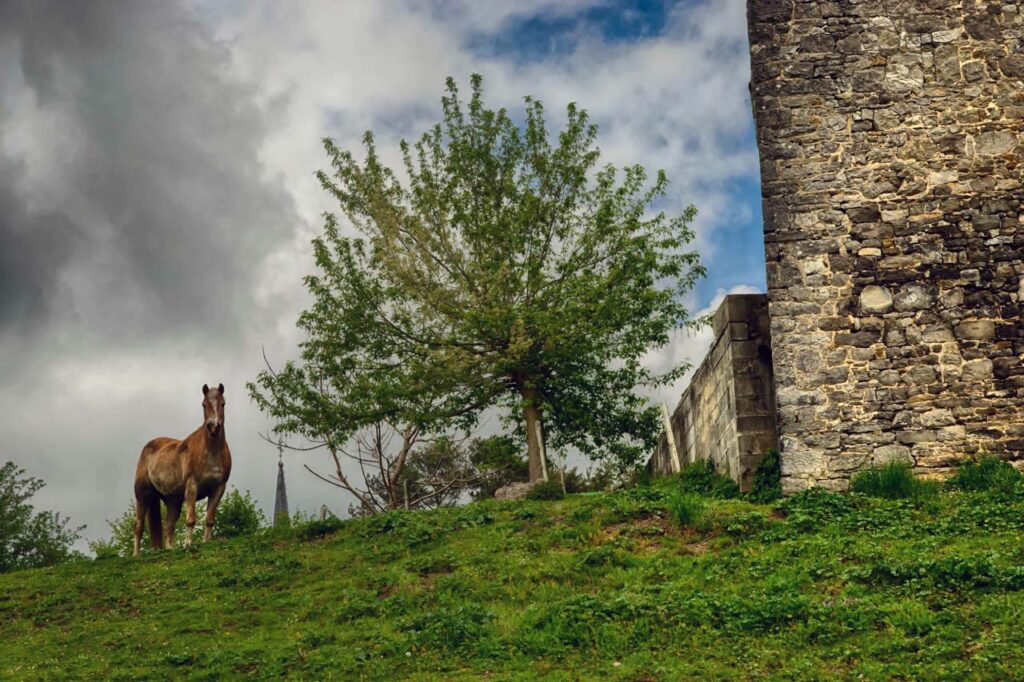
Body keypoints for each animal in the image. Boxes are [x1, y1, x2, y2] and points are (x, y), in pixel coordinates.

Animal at [132, 378, 232, 557]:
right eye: (203, 404)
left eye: (223, 403)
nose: (213, 427)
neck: (211, 452)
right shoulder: (192, 486)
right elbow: (191, 519)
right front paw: (188, 544)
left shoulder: (218, 488)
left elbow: (209, 519)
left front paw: (206, 542)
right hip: (142, 495)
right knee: (138, 526)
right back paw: (136, 555)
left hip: (173, 501)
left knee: (169, 525)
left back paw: (170, 549)